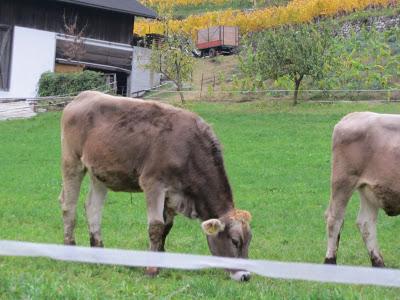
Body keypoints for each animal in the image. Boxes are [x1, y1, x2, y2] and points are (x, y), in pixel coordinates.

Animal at [58, 91, 253, 282]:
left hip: (99, 172)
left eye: (249, 240)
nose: (245, 276)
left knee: (93, 207)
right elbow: (156, 227)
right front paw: (151, 269)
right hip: (71, 161)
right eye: (235, 241)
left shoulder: (173, 194)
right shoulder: (153, 183)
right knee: (69, 206)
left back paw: (98, 252)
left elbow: (166, 227)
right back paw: (70, 249)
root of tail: (82, 96)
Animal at [324, 111, 400, 266]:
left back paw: (379, 264)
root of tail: (354, 115)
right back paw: (330, 261)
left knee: (366, 223)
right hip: (343, 182)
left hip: (368, 189)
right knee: (334, 219)